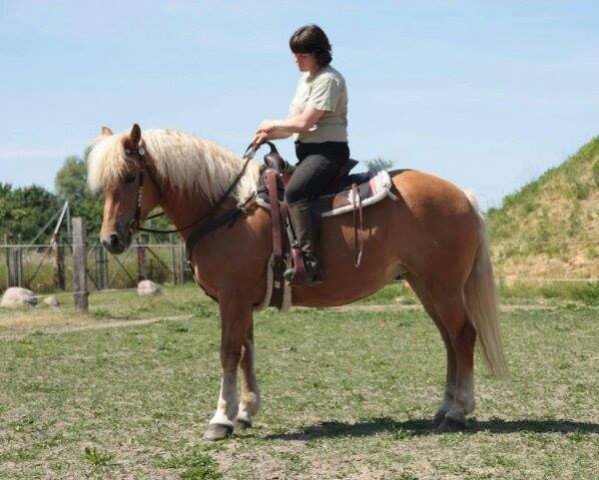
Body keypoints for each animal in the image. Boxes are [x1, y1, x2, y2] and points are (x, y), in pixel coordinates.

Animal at [89, 124, 506, 442]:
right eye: (103, 185)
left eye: (130, 177)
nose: (111, 240)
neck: (227, 210)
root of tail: (464, 196)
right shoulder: (243, 301)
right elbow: (247, 352)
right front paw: (246, 412)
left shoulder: (231, 298)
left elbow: (228, 353)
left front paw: (221, 420)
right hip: (425, 287)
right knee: (449, 340)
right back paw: (445, 407)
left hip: (442, 288)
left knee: (463, 336)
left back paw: (458, 411)